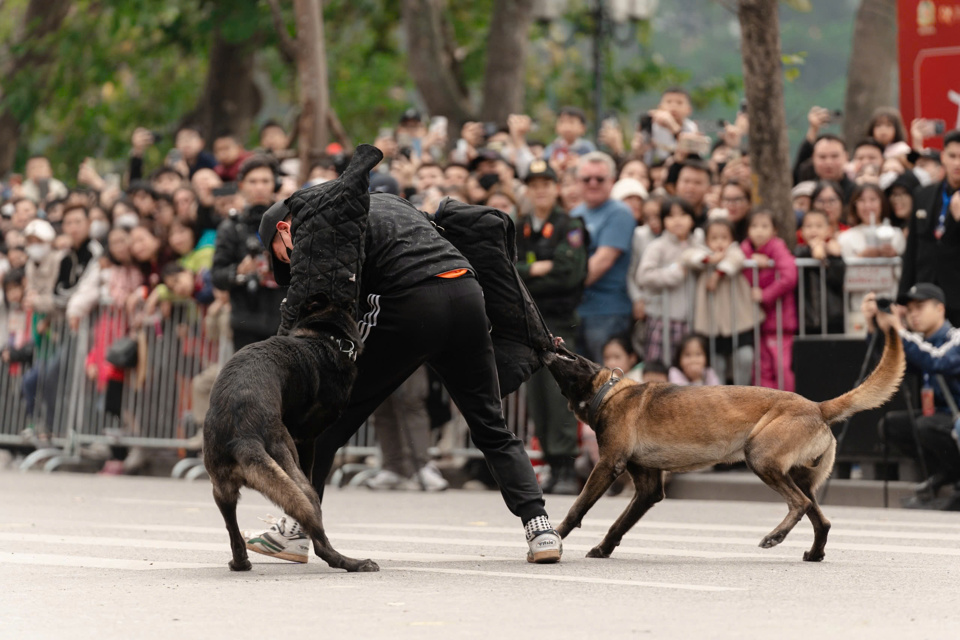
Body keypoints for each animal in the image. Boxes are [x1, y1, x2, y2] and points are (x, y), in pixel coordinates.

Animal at [202, 308, 376, 572]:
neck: (322, 338)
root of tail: (243, 435)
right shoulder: (307, 439)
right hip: (299, 480)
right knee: (321, 541)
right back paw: (353, 563)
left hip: (222, 490)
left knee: (233, 531)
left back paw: (241, 562)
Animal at [544, 328, 904, 564]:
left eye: (572, 357)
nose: (551, 342)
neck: (609, 392)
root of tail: (817, 406)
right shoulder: (647, 488)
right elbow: (620, 523)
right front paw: (603, 548)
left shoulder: (607, 465)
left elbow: (578, 507)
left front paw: (556, 535)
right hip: (798, 475)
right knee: (821, 519)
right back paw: (814, 554)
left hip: (760, 457)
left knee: (799, 504)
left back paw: (776, 536)